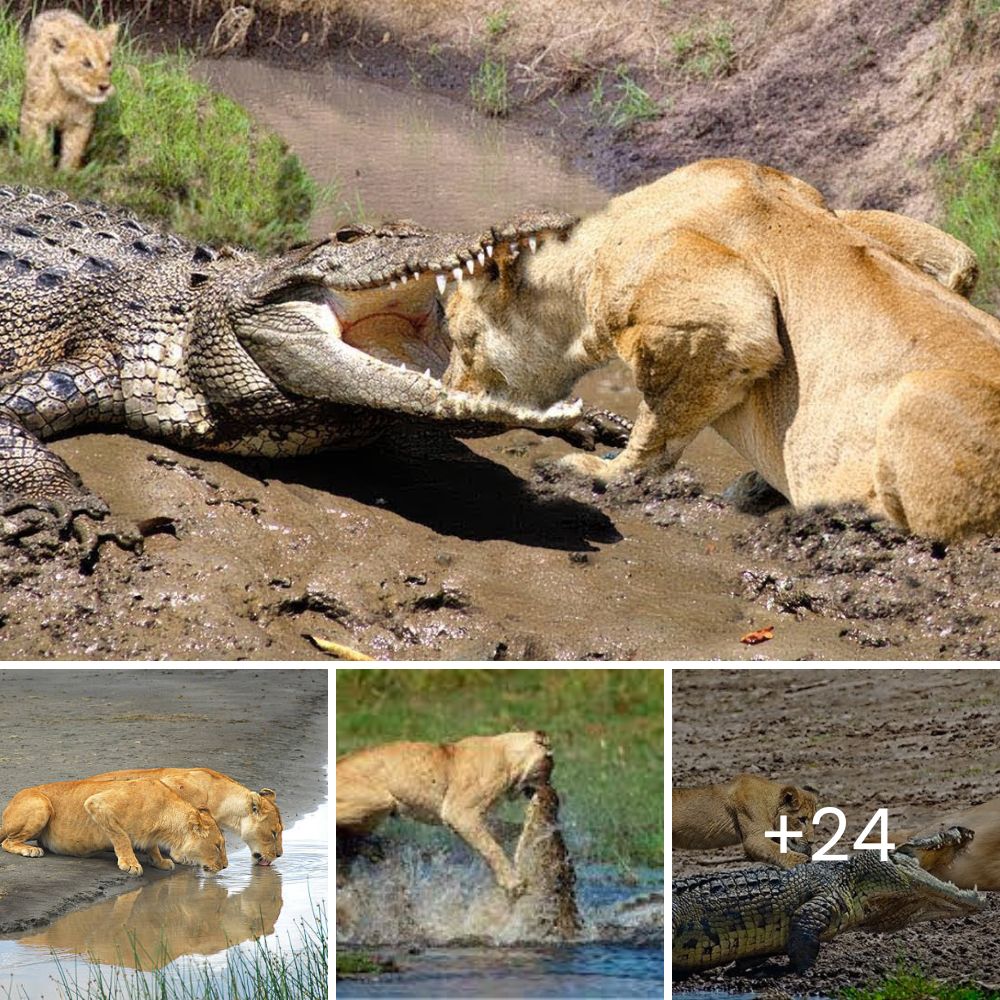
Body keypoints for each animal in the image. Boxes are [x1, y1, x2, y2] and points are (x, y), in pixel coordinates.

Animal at [448, 158, 1000, 540]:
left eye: (459, 338)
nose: (453, 387)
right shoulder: (921, 246)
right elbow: (959, 258)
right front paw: (754, 486)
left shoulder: (730, 312)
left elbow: (658, 427)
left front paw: (602, 473)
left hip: (916, 397)